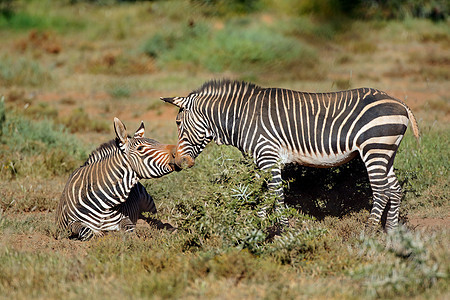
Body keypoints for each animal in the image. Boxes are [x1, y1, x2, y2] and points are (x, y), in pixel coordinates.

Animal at [161, 79, 418, 230]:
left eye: (177, 123)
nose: (180, 162)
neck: (241, 117)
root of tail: (400, 103)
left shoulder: (268, 156)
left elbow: (276, 195)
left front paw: (283, 230)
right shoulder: (260, 161)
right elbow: (261, 194)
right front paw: (256, 226)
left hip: (375, 148)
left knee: (382, 191)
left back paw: (370, 230)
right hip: (387, 152)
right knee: (394, 189)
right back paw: (391, 232)